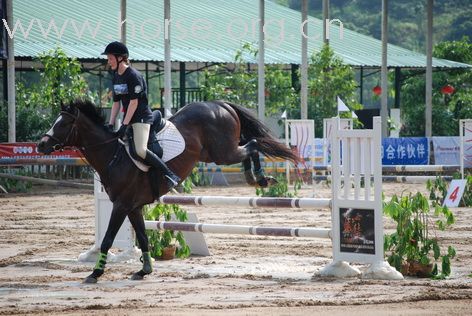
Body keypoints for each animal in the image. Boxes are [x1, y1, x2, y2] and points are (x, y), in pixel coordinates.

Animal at [39, 100, 298, 282]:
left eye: (63, 124)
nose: (41, 145)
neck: (113, 155)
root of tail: (220, 104)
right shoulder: (133, 207)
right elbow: (143, 237)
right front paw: (144, 270)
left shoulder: (121, 205)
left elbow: (108, 239)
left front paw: (95, 273)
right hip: (213, 154)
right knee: (250, 144)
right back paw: (255, 178)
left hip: (223, 152)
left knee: (252, 144)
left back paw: (259, 178)